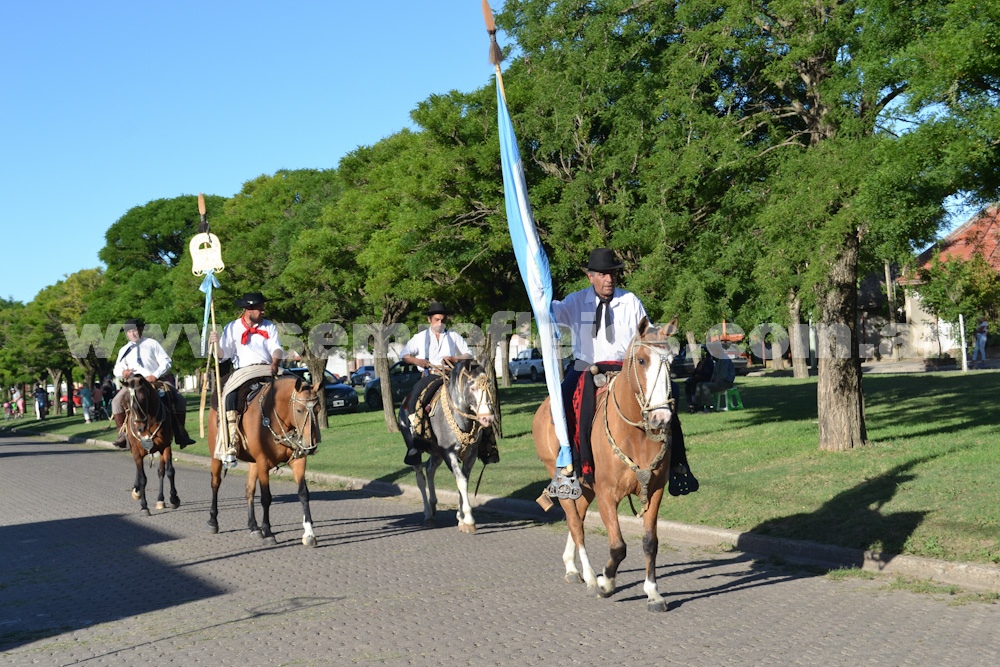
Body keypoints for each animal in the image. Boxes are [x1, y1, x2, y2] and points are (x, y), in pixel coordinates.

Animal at [120, 376, 181, 516]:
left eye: (142, 397)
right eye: (125, 401)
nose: (139, 427)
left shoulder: (165, 446)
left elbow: (169, 471)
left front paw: (174, 499)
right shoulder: (136, 452)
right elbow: (142, 478)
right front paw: (144, 506)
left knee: (161, 472)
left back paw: (160, 500)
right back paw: (137, 491)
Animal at [207, 376, 320, 548]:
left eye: (318, 409)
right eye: (299, 410)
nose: (310, 446)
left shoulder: (298, 461)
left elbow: (303, 493)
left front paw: (309, 533)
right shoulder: (263, 463)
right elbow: (266, 497)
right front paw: (268, 532)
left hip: (253, 463)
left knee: (249, 489)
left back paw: (253, 526)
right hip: (217, 456)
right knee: (215, 483)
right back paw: (213, 521)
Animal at [398, 358, 492, 536]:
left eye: (489, 386)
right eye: (473, 387)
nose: (487, 418)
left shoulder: (471, 454)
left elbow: (464, 479)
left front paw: (461, 518)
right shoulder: (448, 452)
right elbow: (461, 480)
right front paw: (469, 520)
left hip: (436, 453)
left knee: (430, 469)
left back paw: (433, 504)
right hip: (416, 449)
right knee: (420, 478)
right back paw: (428, 514)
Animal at [532, 320, 680, 612]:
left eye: (671, 361)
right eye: (642, 360)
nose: (661, 418)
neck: (635, 434)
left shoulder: (655, 491)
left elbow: (650, 542)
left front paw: (653, 593)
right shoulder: (607, 494)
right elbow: (618, 546)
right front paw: (606, 582)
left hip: (586, 487)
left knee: (576, 516)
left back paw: (571, 567)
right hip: (565, 480)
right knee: (575, 523)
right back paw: (589, 577)